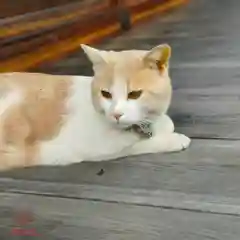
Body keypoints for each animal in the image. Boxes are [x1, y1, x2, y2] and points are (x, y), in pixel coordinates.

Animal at [0, 43, 191, 171]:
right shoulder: (95, 148)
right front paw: (174, 139)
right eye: (106, 94)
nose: (116, 114)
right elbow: (135, 145)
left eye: (134, 94)